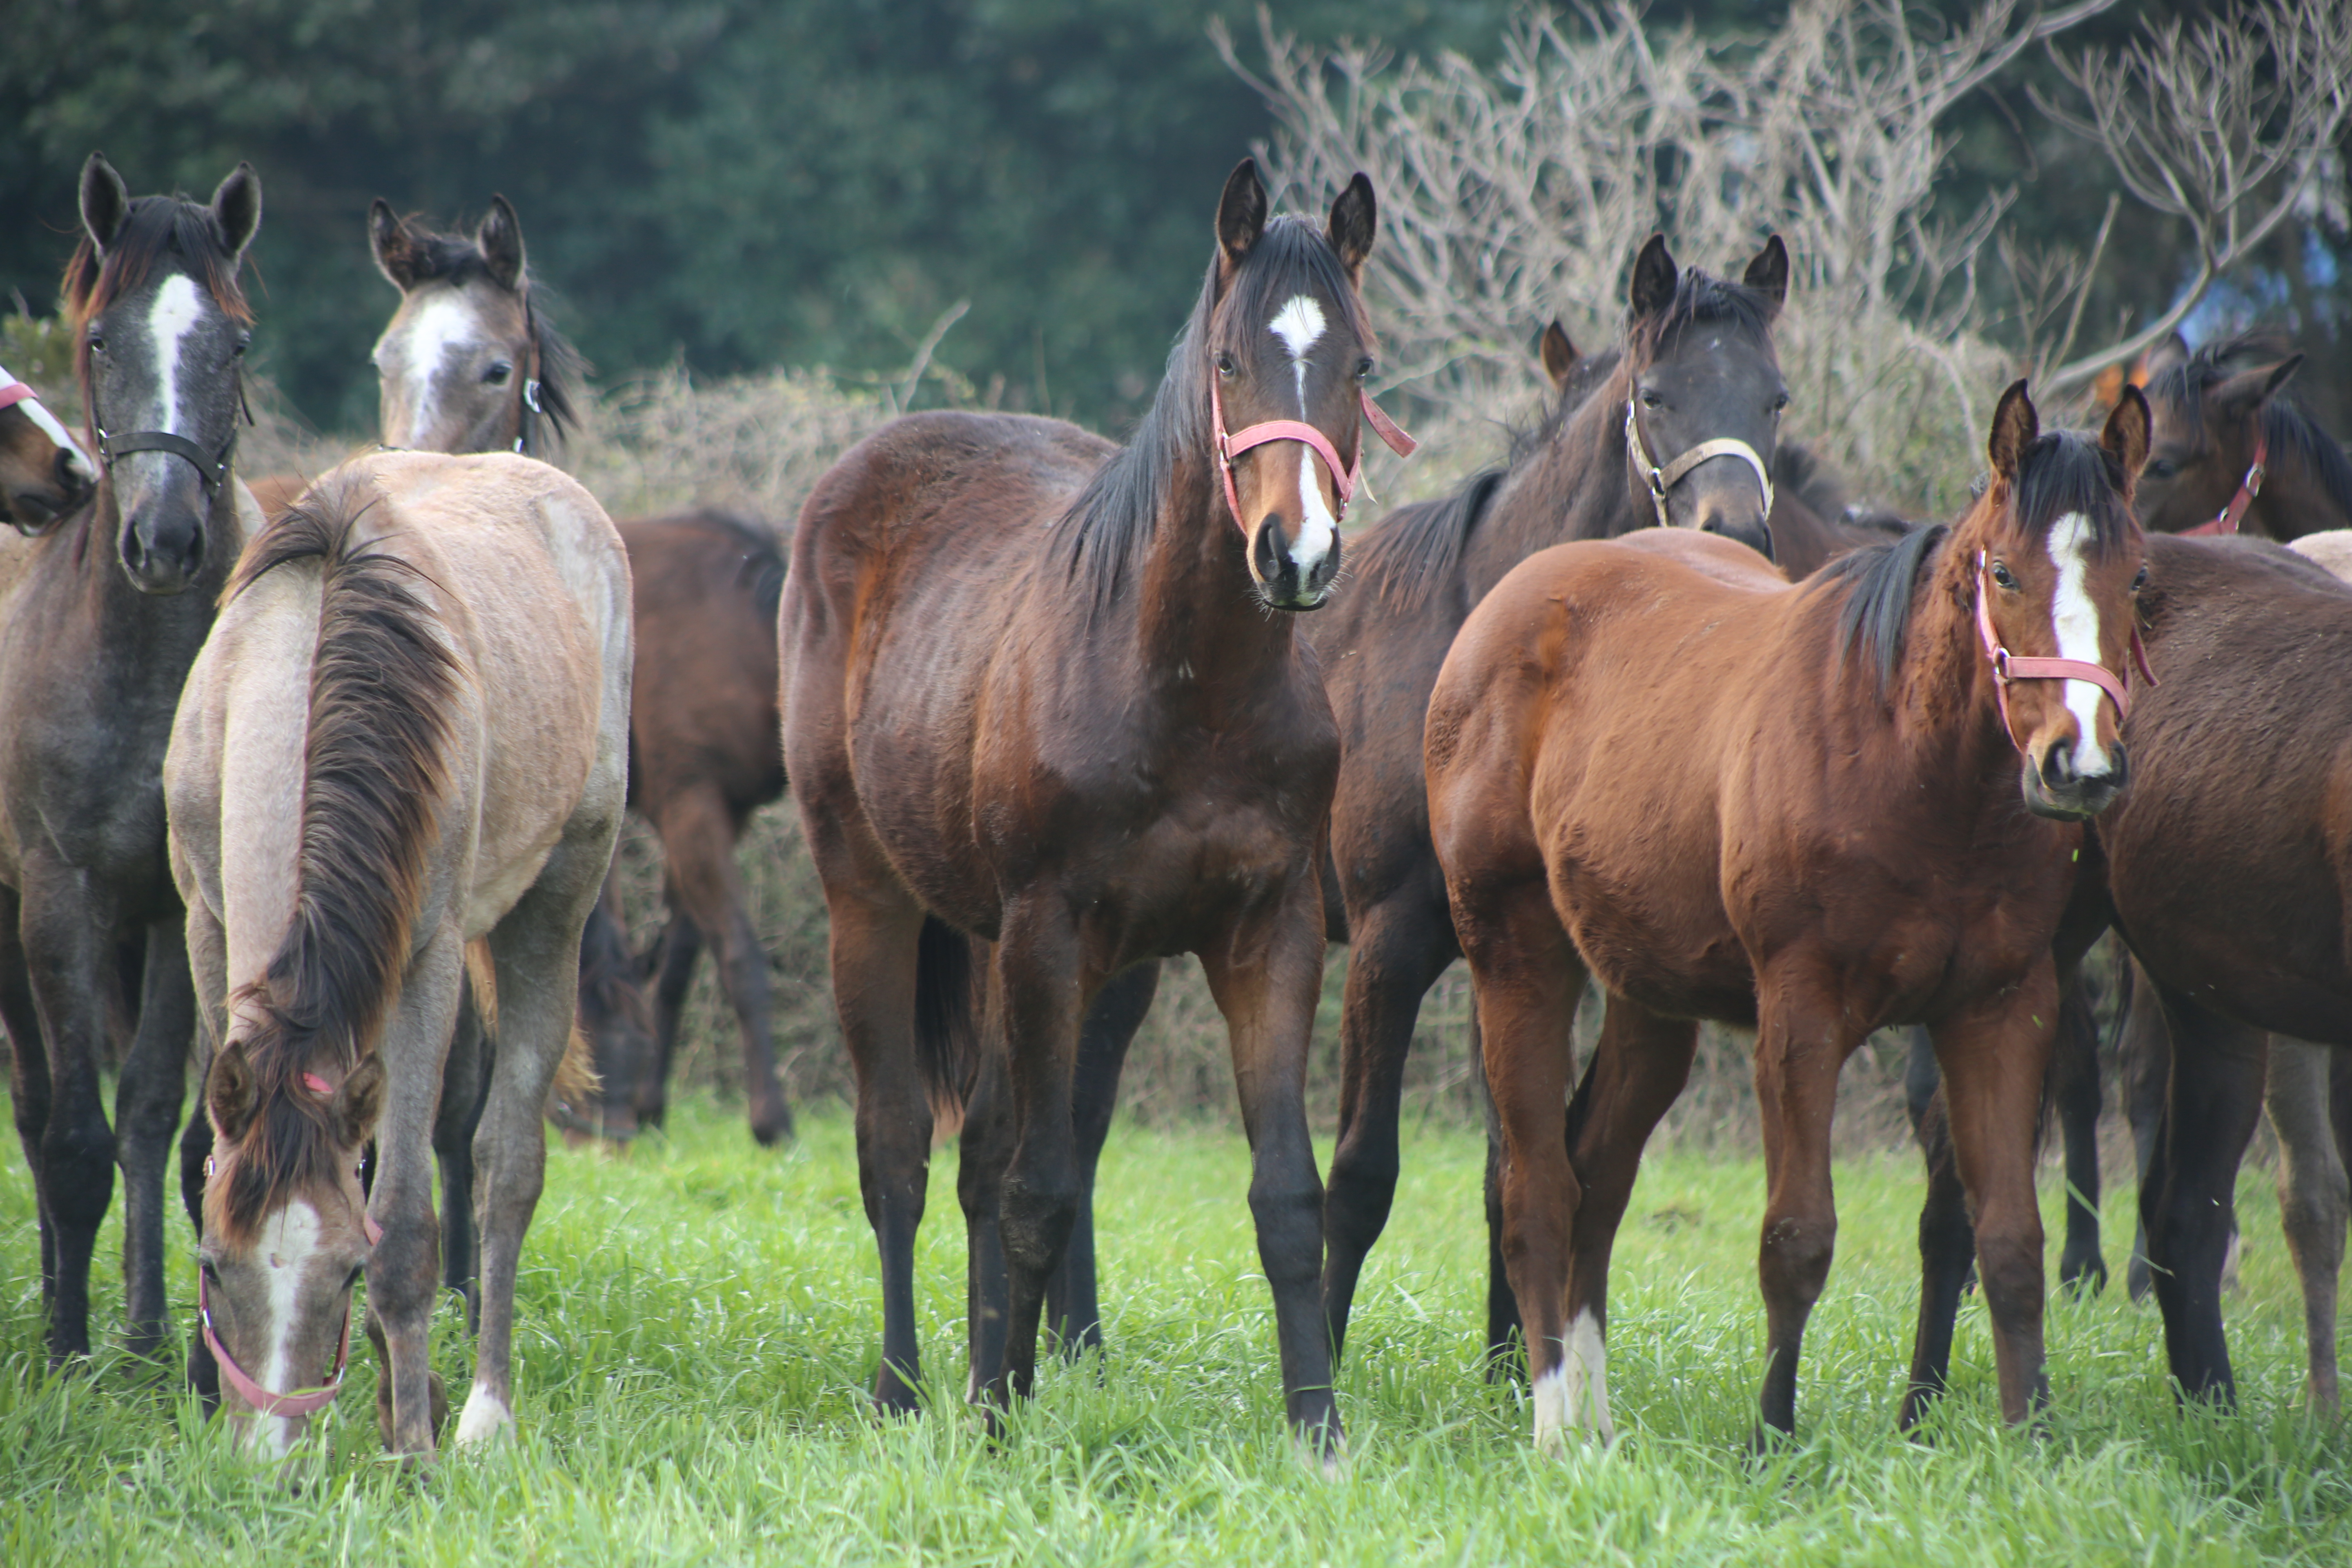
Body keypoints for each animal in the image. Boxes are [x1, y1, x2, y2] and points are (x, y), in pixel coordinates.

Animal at [170, 454, 630, 1457]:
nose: (265, 1468)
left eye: (346, 1272)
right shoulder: (206, 928)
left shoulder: (428, 964)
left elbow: (409, 1225)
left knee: (505, 1167)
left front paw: (413, 1445)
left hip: (558, 900)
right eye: (214, 1266)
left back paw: (485, 1412)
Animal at [790, 160, 1411, 1448]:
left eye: (1361, 365)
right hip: (868, 899)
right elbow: (1036, 1187)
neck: (1189, 687)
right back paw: (905, 1386)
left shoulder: (1266, 937)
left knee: (977, 1153)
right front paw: (992, 1423)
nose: (1297, 555)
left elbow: (1284, 1196)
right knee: (898, 1154)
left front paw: (1317, 1433)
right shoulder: (1050, 932)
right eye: (1226, 359)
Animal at [1430, 383, 2154, 1448]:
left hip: (1650, 999)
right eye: (2004, 571)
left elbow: (2009, 1241)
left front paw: (2029, 1440)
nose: (2081, 762)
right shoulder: (1799, 1017)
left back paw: (1598, 1427)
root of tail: (1511, 603)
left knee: (1598, 1177)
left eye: (2136, 576)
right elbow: (1796, 1238)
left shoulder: (1997, 1012)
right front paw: (1770, 1435)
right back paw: (1556, 1426)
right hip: (1516, 957)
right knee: (1537, 1190)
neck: (1909, 763)